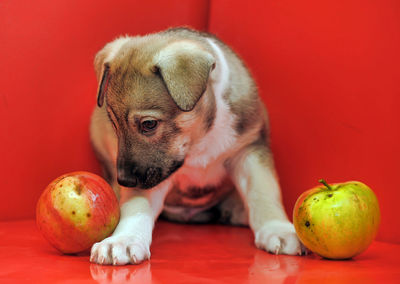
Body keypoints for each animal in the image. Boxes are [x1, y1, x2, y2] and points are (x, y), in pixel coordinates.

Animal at [90, 27, 304, 266]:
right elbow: (137, 205)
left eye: (149, 124)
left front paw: (277, 228)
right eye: (113, 123)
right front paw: (123, 240)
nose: (125, 181)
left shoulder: (249, 149)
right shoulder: (155, 174)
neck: (200, 140)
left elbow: (263, 191)